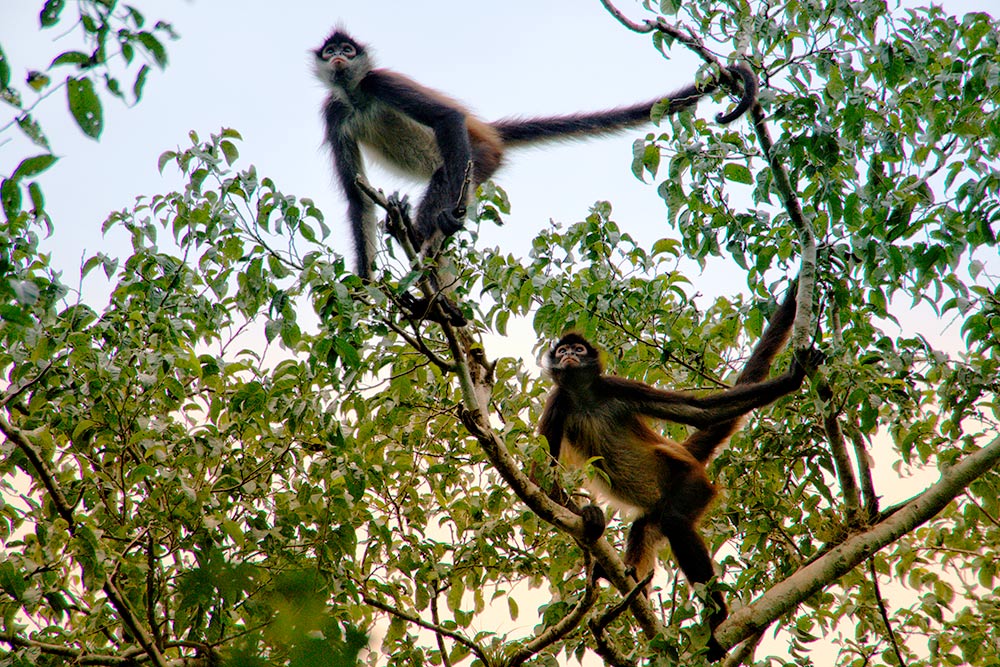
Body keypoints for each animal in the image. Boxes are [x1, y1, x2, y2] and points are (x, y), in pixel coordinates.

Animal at [312, 28, 756, 280]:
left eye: (348, 50)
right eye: (332, 51)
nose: (340, 56)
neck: (356, 97)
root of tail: (490, 134)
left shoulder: (378, 81)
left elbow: (446, 118)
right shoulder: (334, 113)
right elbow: (356, 198)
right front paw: (367, 290)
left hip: (475, 159)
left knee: (444, 178)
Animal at [540, 288, 812, 664]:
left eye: (577, 350)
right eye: (562, 351)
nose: (567, 355)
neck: (583, 397)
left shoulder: (615, 386)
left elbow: (701, 412)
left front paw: (792, 377)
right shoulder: (558, 402)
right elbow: (541, 480)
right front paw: (591, 515)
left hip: (691, 484)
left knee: (676, 522)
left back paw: (716, 621)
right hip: (659, 511)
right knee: (646, 528)